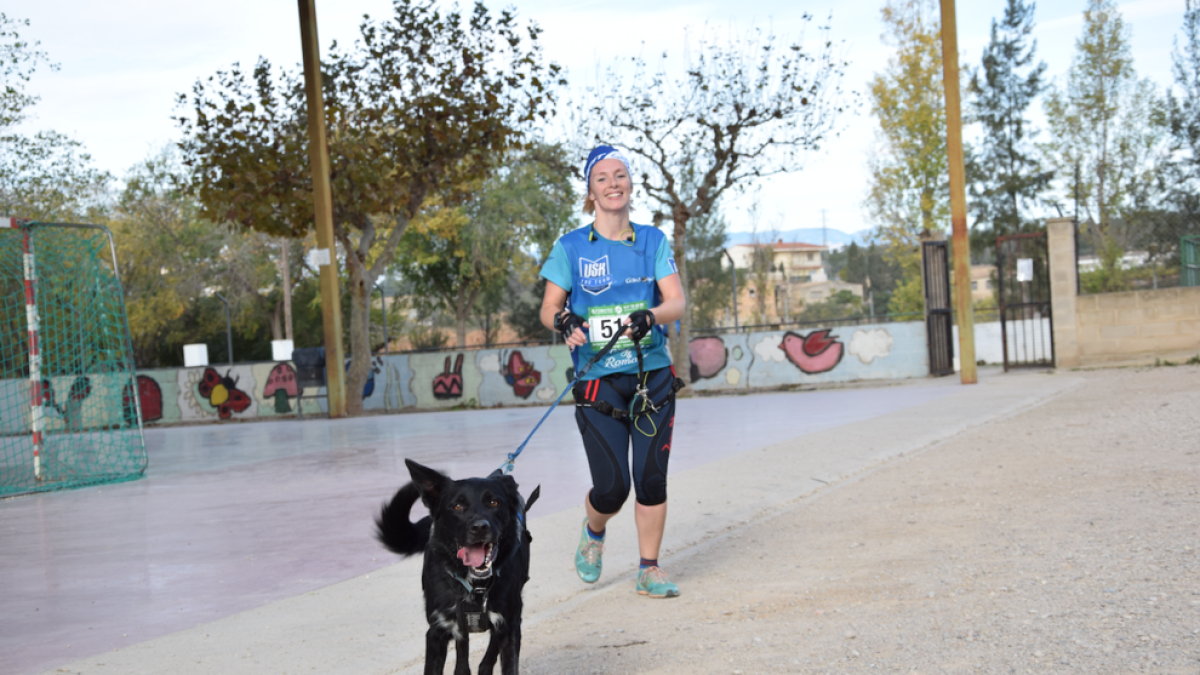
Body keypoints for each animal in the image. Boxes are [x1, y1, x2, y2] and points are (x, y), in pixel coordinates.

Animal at [376, 456, 542, 672]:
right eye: (457, 506)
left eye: (493, 502)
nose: (479, 528)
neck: (475, 585)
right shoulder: (437, 630)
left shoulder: (510, 624)